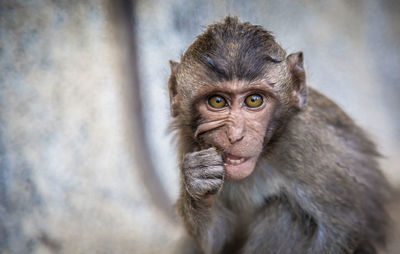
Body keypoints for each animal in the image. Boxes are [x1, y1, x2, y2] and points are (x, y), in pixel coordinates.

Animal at [166, 16, 390, 253]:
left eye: (253, 100)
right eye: (217, 101)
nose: (235, 135)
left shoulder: (304, 141)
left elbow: (343, 224)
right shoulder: (188, 141)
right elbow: (213, 241)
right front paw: (197, 179)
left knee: (286, 212)